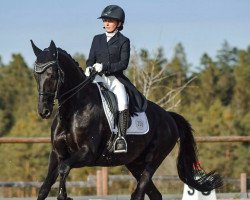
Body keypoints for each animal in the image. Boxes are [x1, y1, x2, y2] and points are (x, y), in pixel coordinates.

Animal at [30, 40, 221, 200]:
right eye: (35, 75)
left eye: (52, 74)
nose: (44, 110)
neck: (73, 110)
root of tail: (169, 117)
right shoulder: (57, 154)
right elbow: (45, 187)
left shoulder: (87, 153)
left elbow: (64, 169)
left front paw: (63, 196)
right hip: (135, 163)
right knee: (154, 194)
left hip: (152, 161)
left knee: (139, 193)